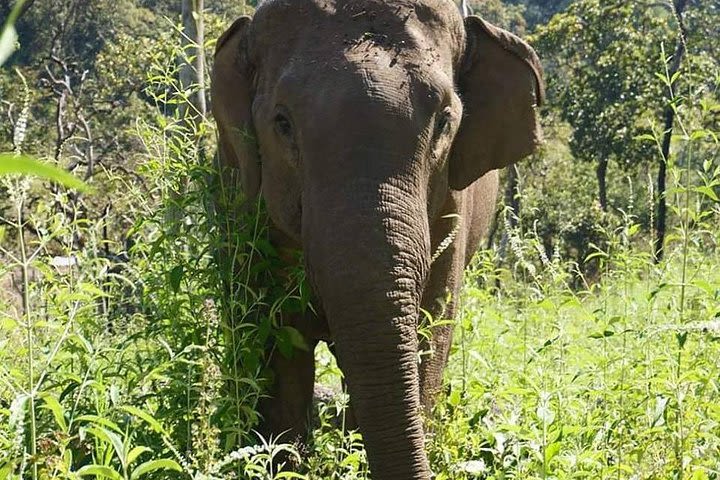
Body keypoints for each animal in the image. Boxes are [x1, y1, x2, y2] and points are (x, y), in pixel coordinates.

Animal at [211, 1, 544, 478]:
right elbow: (275, 337)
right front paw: (282, 460)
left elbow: (429, 327)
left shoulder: (451, 210)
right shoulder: (243, 202)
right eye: (282, 123)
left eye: (445, 121)